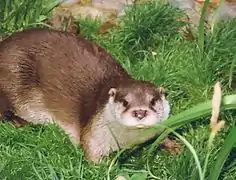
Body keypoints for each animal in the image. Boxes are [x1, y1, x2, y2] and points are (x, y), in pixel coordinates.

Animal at [0, 28, 171, 163]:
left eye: (152, 101)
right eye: (124, 101)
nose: (140, 112)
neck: (128, 141)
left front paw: (172, 145)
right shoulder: (95, 133)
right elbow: (91, 151)